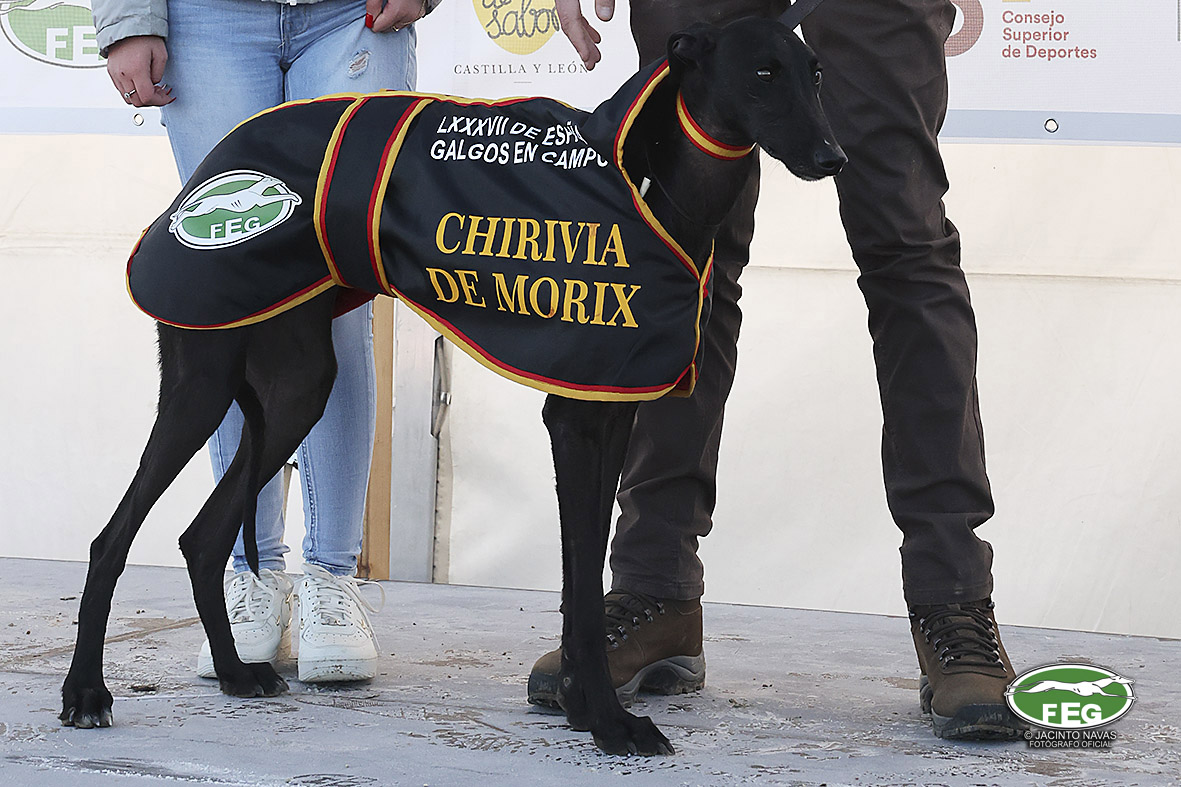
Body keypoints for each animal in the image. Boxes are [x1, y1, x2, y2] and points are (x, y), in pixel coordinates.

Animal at [60, 8, 844, 756]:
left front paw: (584, 707)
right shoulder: (574, 419)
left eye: (814, 72)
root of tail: (213, 168)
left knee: (203, 535)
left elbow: (583, 574)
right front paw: (607, 721)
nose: (832, 158)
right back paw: (85, 691)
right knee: (113, 538)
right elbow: (582, 583)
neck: (644, 182)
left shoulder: (612, 410)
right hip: (203, 379)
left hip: (294, 391)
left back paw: (232, 673)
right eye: (763, 73)